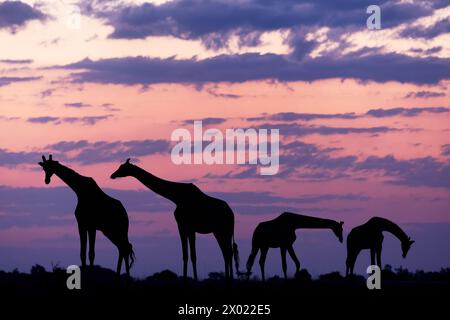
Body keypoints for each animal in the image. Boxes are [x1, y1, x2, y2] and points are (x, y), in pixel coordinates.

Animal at [110, 159, 239, 280]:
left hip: (223, 230)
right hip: (220, 231)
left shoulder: (189, 227)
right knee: (227, 252)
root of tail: (232, 214)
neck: (176, 197)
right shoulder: (182, 226)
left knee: (228, 252)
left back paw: (230, 278)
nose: (112, 175)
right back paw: (229, 278)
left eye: (123, 167)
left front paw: (194, 279)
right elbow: (185, 255)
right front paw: (186, 279)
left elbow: (193, 256)